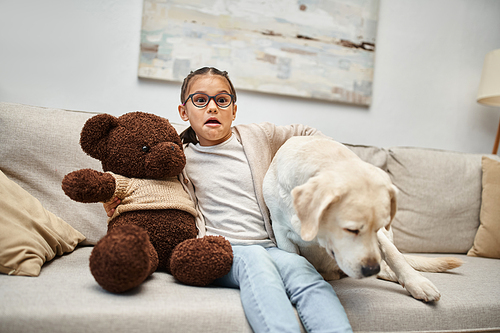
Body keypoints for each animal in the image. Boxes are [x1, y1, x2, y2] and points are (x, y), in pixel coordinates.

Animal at [264, 136, 462, 302]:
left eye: (376, 228)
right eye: (351, 229)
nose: (371, 269)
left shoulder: (380, 235)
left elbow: (394, 255)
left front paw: (417, 282)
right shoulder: (281, 232)